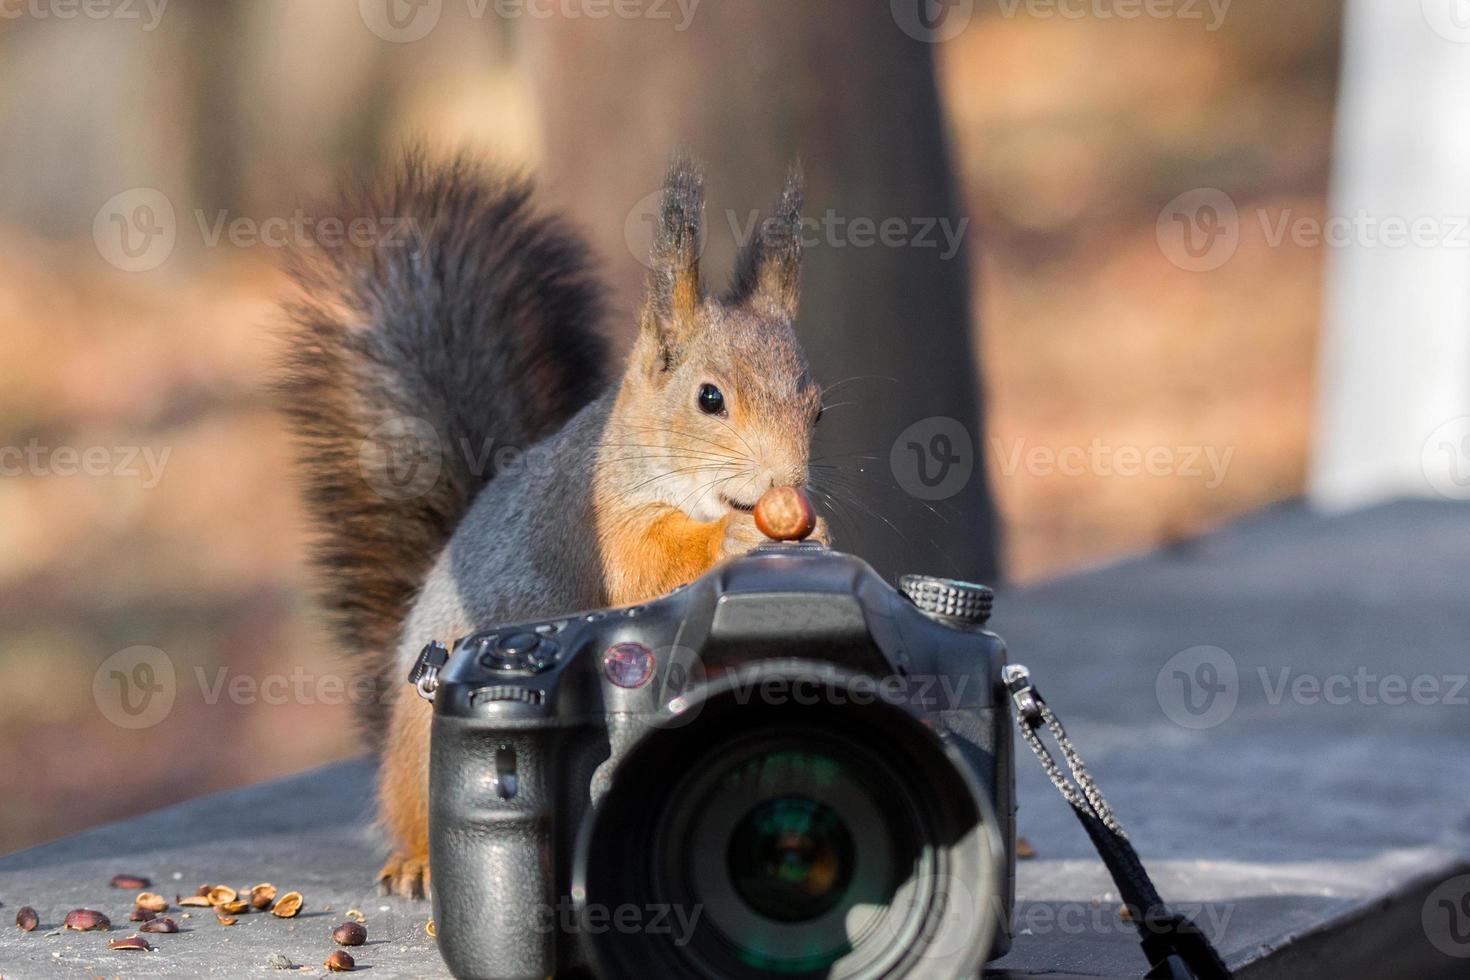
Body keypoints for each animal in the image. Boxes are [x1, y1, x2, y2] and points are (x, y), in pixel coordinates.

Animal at [276, 151, 829, 899]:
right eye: (710, 398)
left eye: (818, 409)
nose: (786, 485)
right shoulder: (605, 522)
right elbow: (646, 571)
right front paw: (735, 540)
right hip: (427, 738)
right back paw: (417, 860)